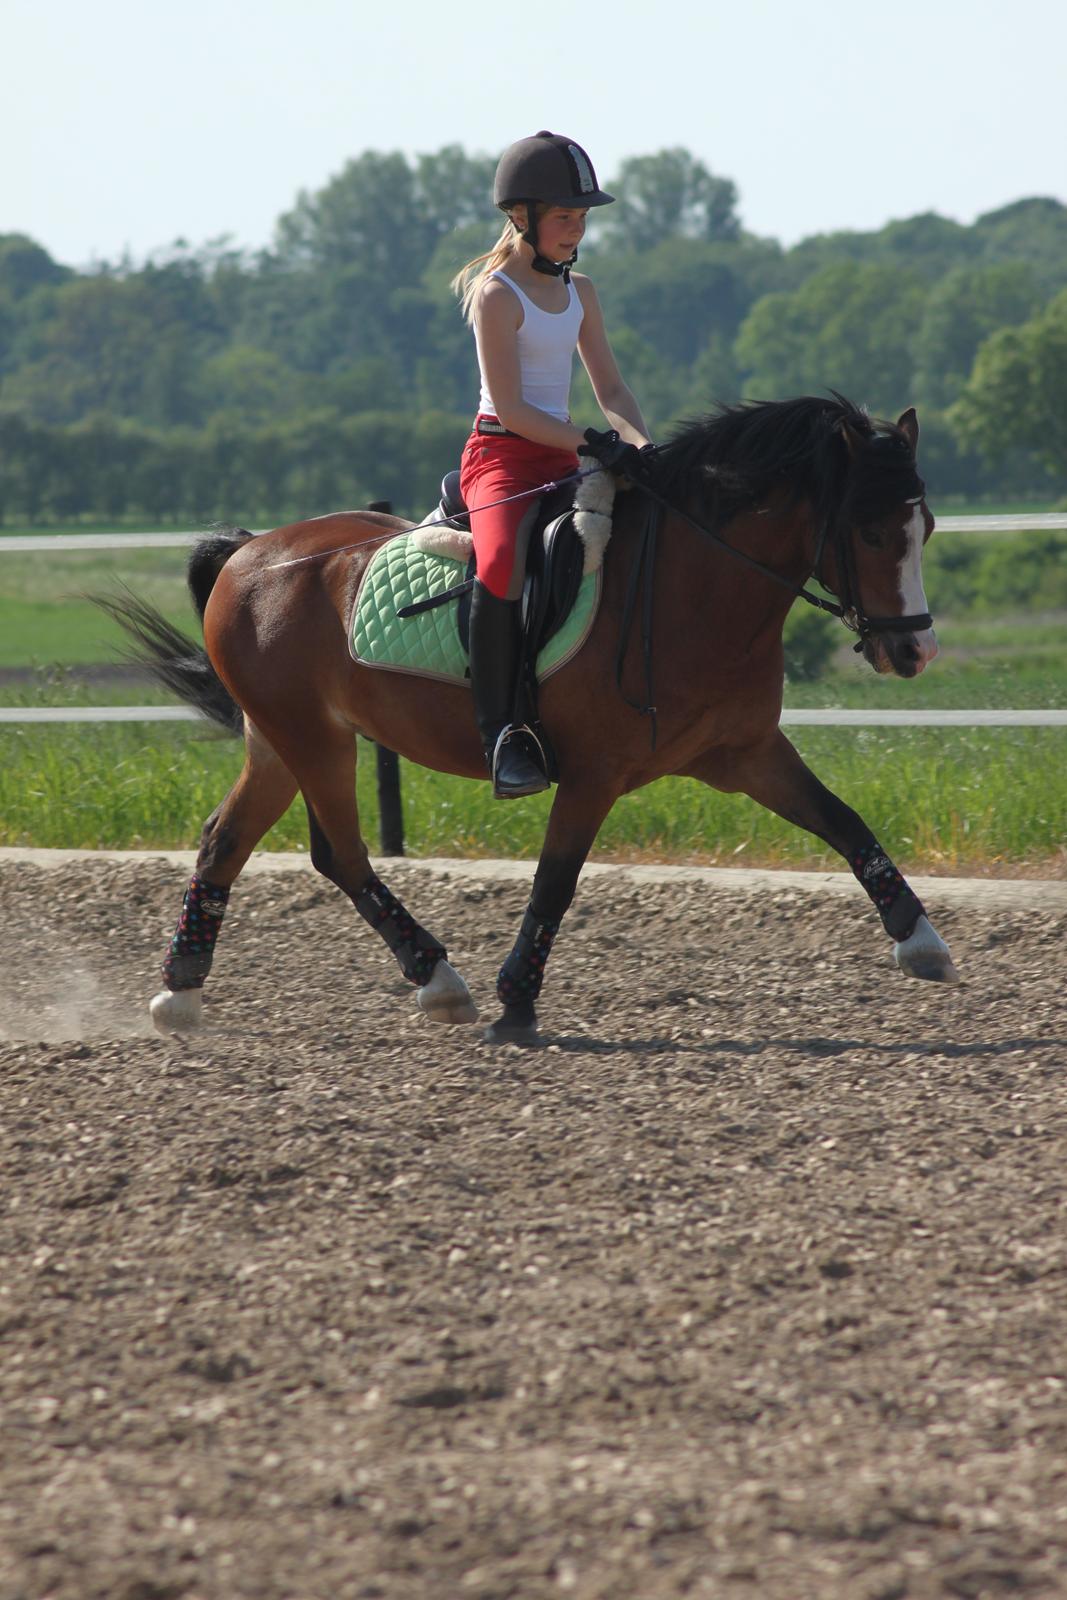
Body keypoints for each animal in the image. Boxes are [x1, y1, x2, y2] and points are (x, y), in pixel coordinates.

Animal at [106, 393, 959, 1043]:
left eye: (925, 531)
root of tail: (254, 551)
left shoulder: (745, 752)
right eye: (870, 531)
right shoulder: (592, 773)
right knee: (340, 856)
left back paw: (180, 992)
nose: (912, 650)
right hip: (309, 737)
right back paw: (440, 980)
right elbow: (555, 880)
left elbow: (844, 823)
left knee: (228, 840)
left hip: (282, 740)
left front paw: (921, 940)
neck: (692, 586)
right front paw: (516, 1002)